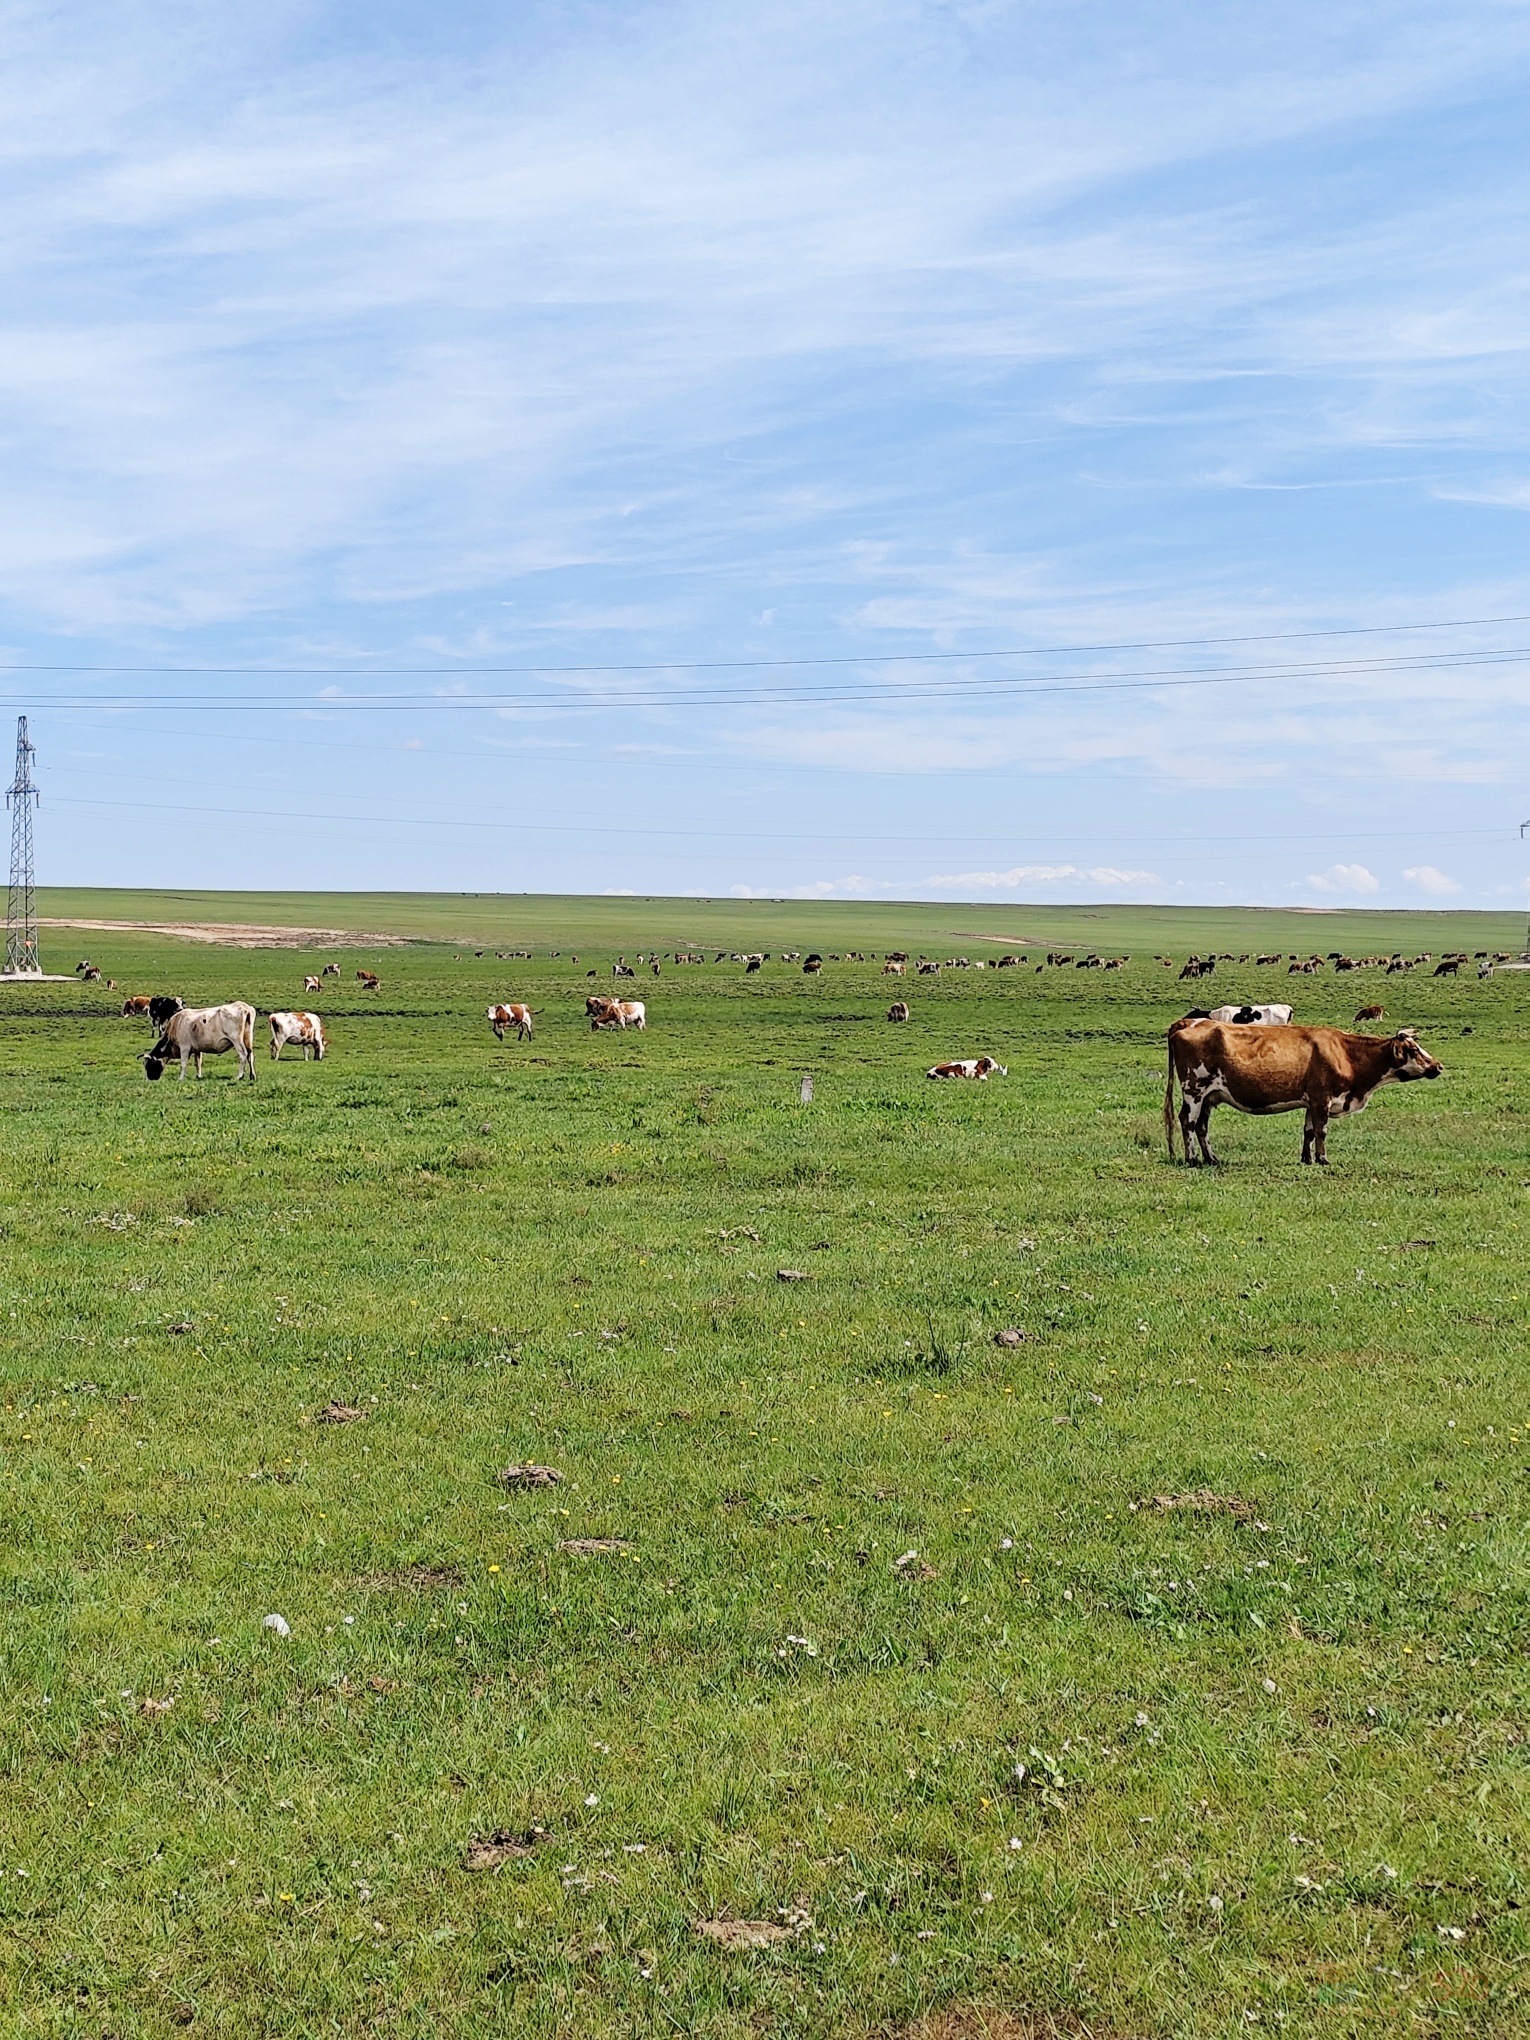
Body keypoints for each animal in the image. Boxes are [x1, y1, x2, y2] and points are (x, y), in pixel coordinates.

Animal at [1166, 1015, 1444, 1166]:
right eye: (1414, 1049)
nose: (1438, 1066)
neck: (1346, 1053)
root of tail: (1190, 1021)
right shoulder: (1323, 1098)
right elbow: (1322, 1131)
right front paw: (1322, 1159)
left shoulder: (1312, 1101)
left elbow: (1308, 1131)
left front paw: (1306, 1159)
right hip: (1194, 1089)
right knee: (1188, 1122)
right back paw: (1191, 1158)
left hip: (1209, 1097)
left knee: (1202, 1126)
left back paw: (1211, 1158)